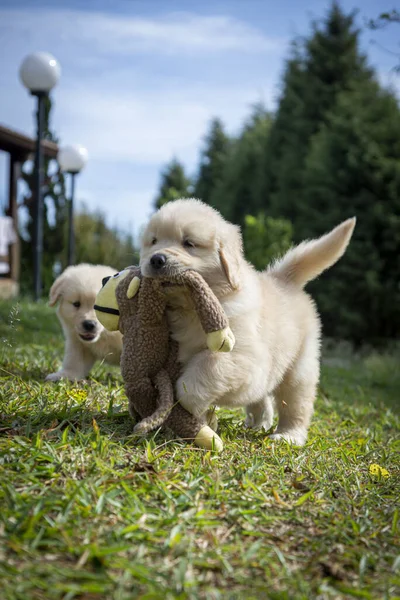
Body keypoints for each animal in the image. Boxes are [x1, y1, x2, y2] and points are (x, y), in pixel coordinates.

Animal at [141, 199, 356, 442]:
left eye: (189, 243)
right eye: (153, 241)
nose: (156, 259)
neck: (190, 309)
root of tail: (283, 279)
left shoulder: (247, 358)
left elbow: (209, 364)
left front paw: (189, 403)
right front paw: (204, 421)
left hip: (299, 368)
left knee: (296, 404)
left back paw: (288, 435)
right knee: (261, 398)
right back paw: (259, 423)